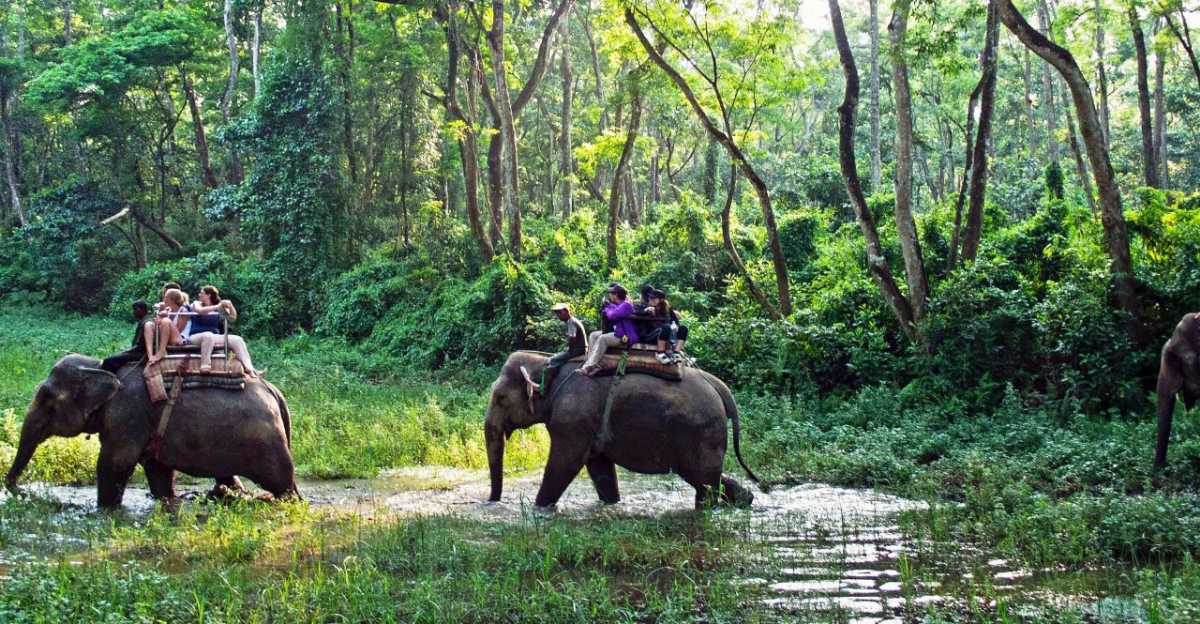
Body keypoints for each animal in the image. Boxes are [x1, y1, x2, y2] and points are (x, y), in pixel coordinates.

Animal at [5, 352, 300, 508]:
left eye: (47, 400)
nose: (20, 490)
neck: (100, 368)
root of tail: (274, 392)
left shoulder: (128, 415)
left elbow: (114, 464)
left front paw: (105, 510)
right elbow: (157, 470)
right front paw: (167, 502)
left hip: (266, 443)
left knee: (282, 484)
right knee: (228, 477)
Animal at [482, 348, 753, 508]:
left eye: (500, 398)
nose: (491, 501)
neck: (548, 362)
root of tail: (719, 386)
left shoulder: (573, 418)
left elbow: (565, 462)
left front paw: (540, 508)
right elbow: (598, 465)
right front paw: (611, 503)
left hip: (701, 432)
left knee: (703, 481)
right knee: (706, 478)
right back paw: (745, 499)